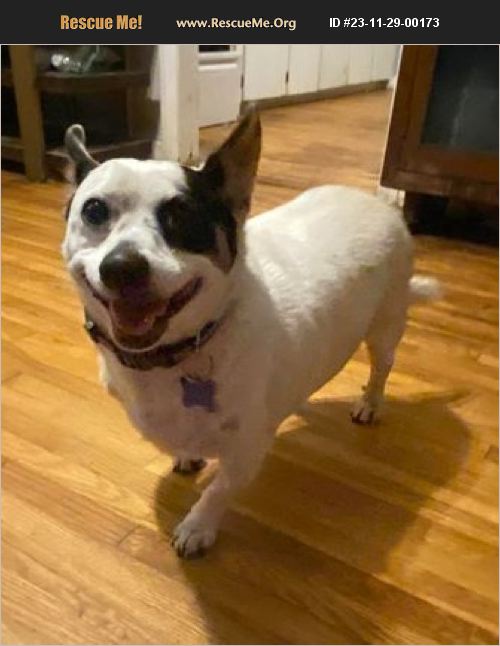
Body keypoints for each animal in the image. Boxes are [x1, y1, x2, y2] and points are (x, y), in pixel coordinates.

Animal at [62, 110, 441, 558]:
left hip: (385, 326)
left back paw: (369, 403)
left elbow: (219, 490)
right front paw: (188, 455)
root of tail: (378, 203)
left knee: (382, 368)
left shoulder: (247, 450)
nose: (122, 267)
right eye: (94, 211)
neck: (179, 352)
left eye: (182, 218)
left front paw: (198, 526)